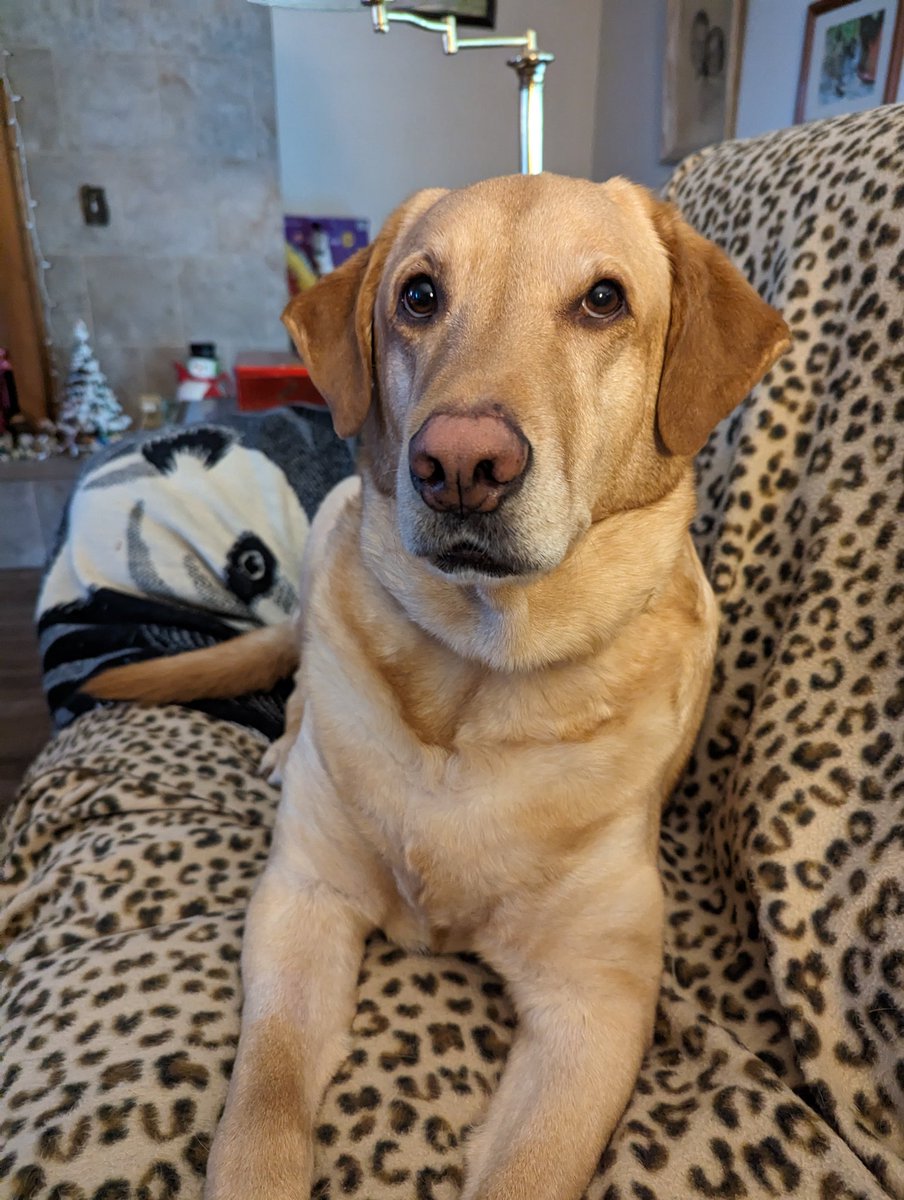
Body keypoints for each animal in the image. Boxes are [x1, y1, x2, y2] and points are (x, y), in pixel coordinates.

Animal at [88, 174, 787, 1200]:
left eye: (604, 300)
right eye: (419, 295)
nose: (461, 463)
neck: (474, 674)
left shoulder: (599, 1004)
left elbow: (530, 1173)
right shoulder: (300, 900)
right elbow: (264, 1101)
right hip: (327, 526)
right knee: (298, 679)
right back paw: (283, 742)